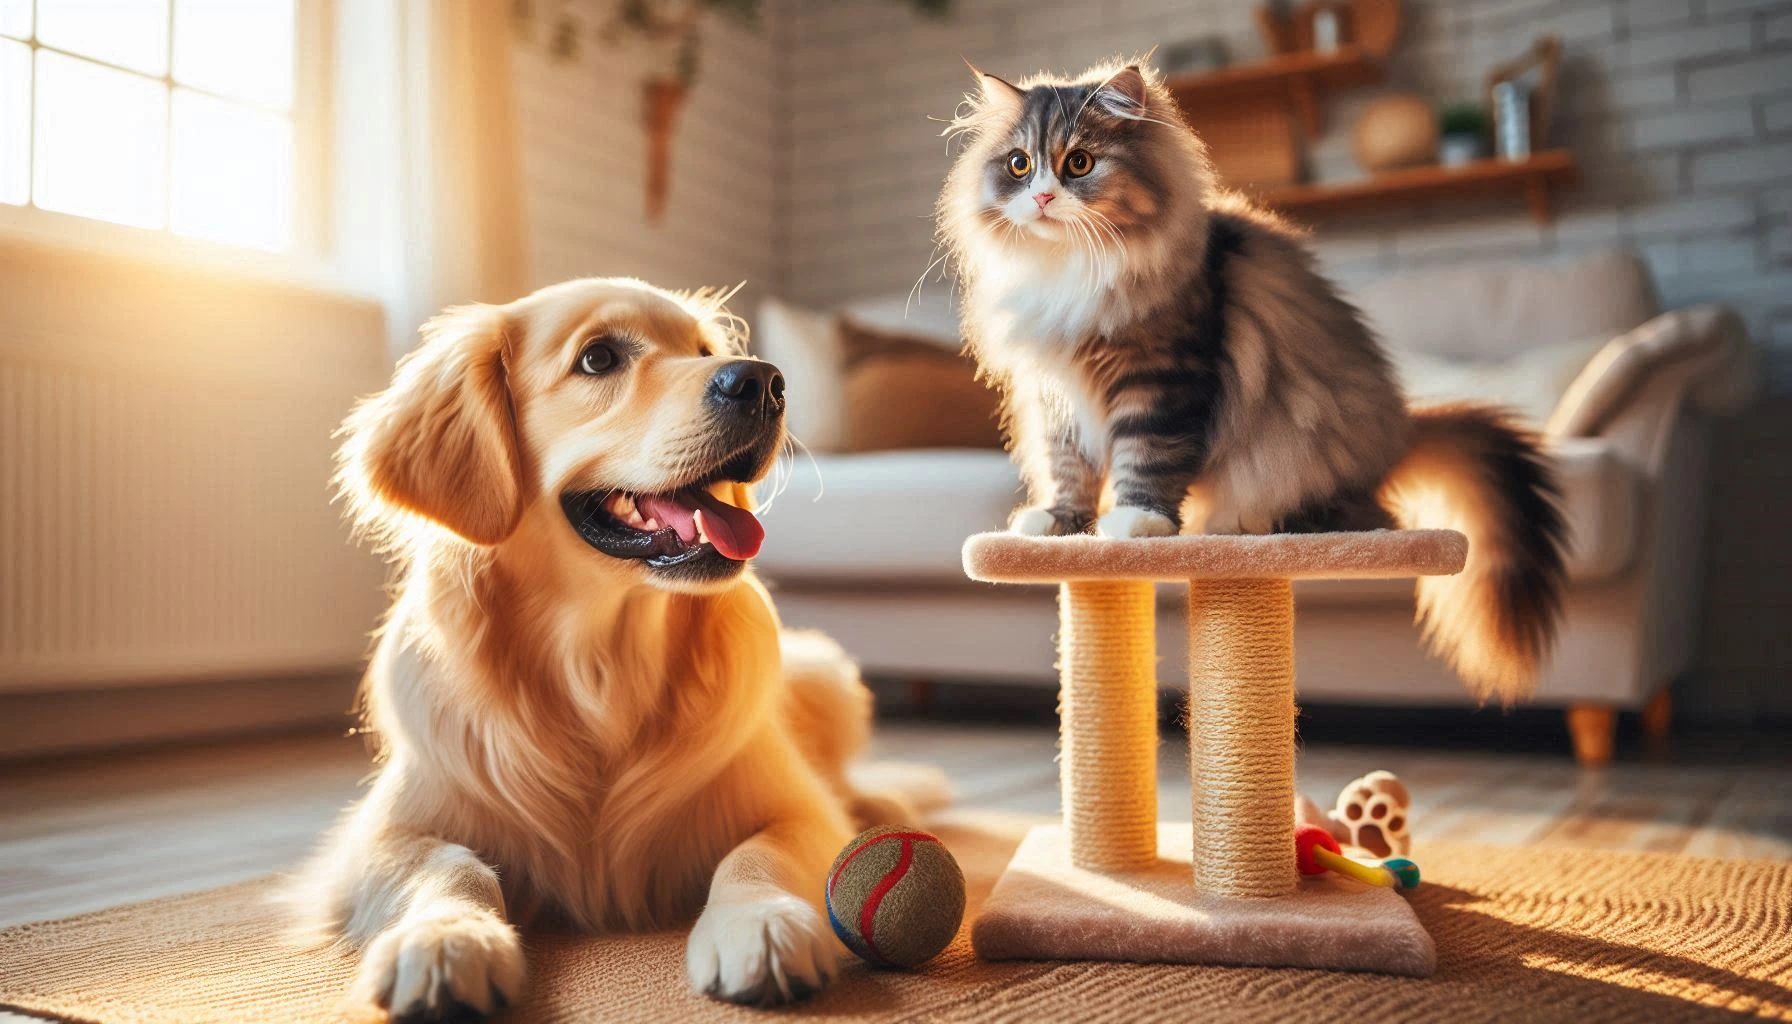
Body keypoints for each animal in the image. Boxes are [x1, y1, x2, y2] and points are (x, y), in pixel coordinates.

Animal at [290, 276, 924, 1018]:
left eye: (703, 350)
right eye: (598, 359)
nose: (765, 382)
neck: (601, 661)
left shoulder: (794, 807)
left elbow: (758, 852)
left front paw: (759, 922)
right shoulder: (384, 834)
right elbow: (449, 866)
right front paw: (447, 937)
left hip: (826, 675)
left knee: (847, 783)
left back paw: (882, 807)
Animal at [939, 62, 1569, 695]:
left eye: (1079, 163)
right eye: (1019, 165)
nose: (1043, 196)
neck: (1071, 268)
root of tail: (1402, 433)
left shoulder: (1162, 377)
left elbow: (1147, 456)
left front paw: (1138, 523)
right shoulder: (1057, 394)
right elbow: (1069, 470)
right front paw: (1058, 525)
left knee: (1370, 517)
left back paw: (1253, 521)